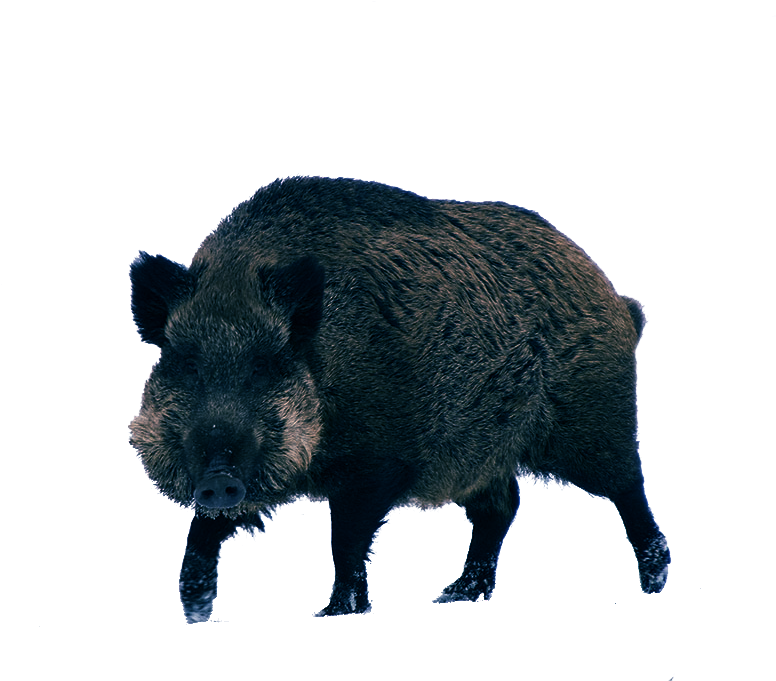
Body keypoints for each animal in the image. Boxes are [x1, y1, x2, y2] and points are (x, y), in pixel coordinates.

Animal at [129, 176, 669, 621]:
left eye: (264, 365)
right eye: (187, 363)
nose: (217, 476)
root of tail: (618, 302)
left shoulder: (379, 464)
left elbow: (345, 541)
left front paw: (336, 613)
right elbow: (204, 532)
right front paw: (196, 609)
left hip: (592, 419)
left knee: (626, 488)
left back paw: (654, 583)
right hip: (481, 454)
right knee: (501, 509)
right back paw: (454, 596)